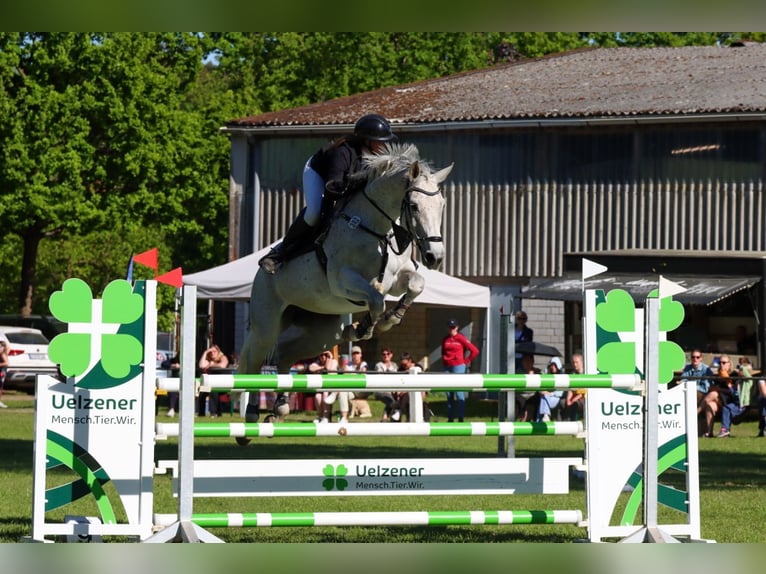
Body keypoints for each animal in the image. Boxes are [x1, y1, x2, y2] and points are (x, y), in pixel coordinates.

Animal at [235, 143, 452, 436]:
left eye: (441, 205)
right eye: (414, 206)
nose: (435, 257)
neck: (375, 230)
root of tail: (259, 275)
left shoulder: (397, 280)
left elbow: (415, 285)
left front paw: (389, 319)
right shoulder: (342, 281)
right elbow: (375, 298)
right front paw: (371, 326)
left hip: (322, 335)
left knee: (286, 352)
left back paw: (280, 406)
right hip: (266, 326)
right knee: (255, 363)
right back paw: (251, 414)